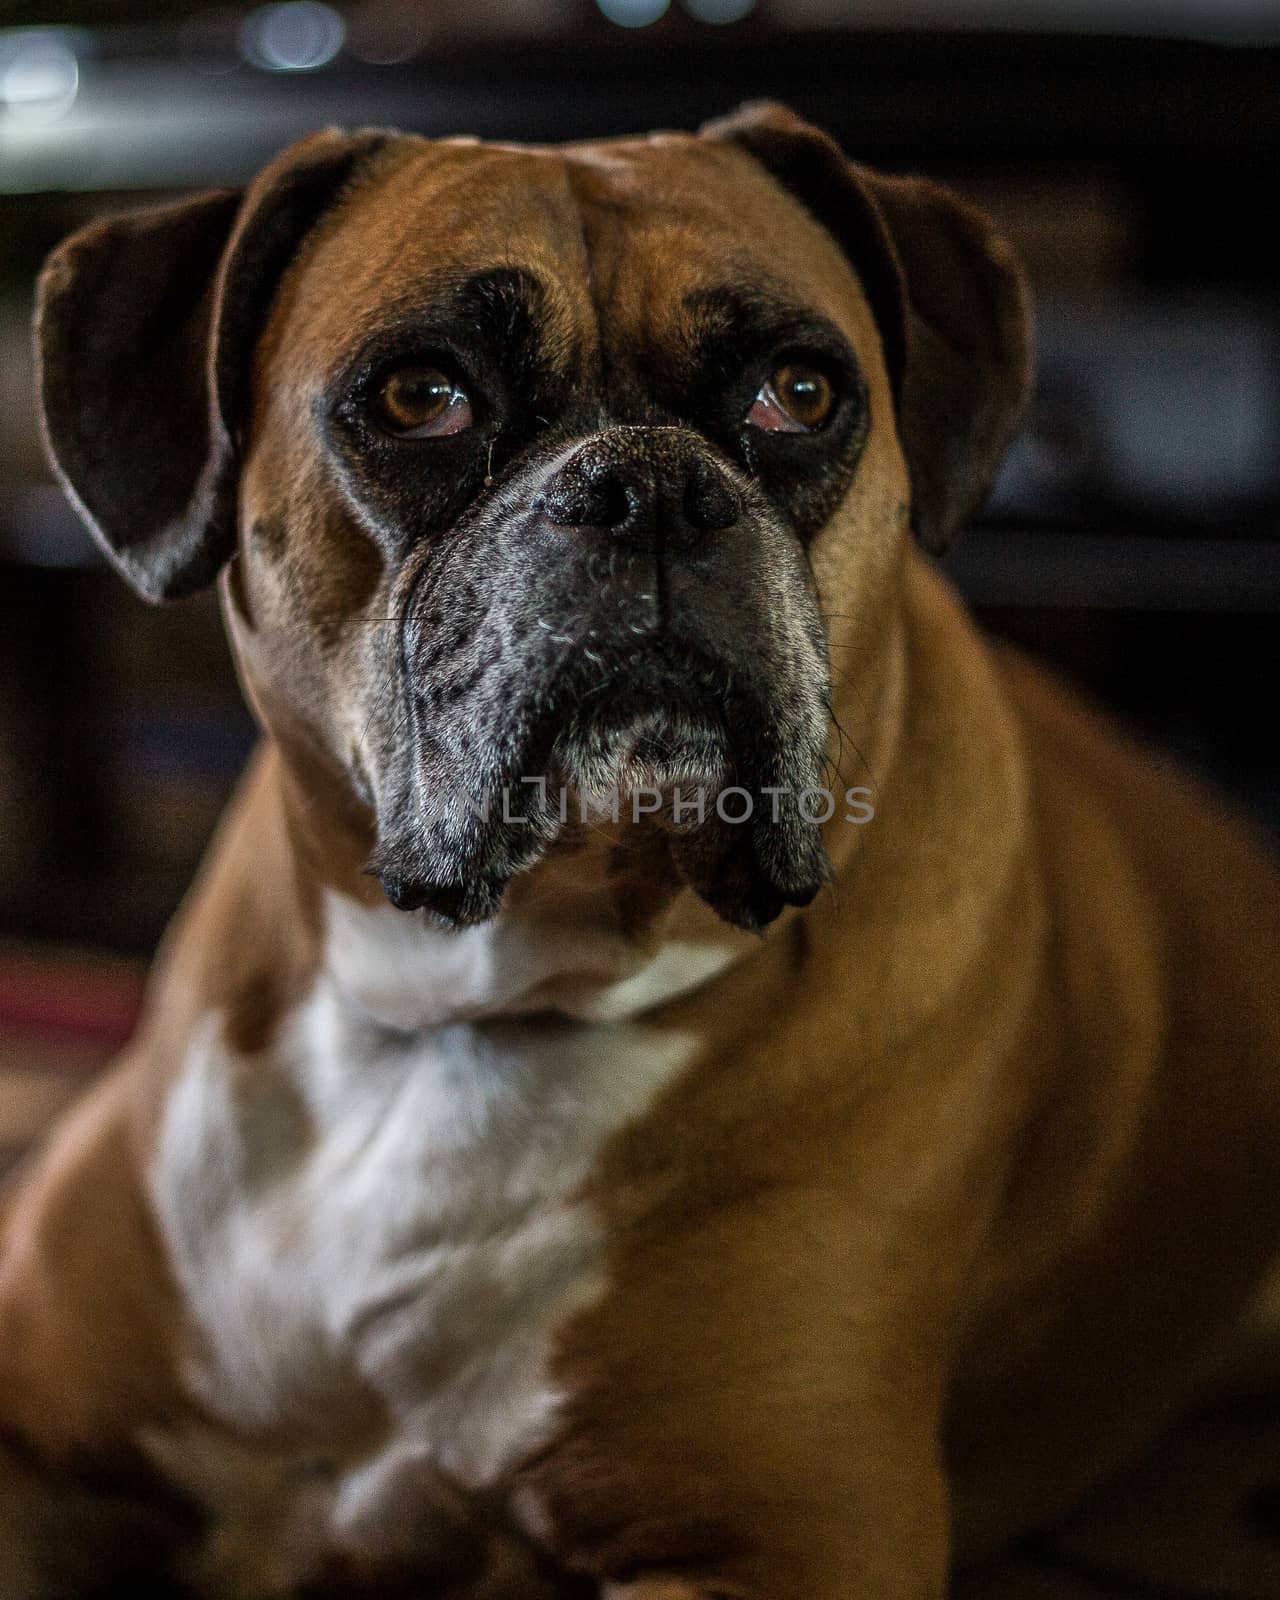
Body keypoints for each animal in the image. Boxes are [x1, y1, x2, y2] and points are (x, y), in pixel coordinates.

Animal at [2, 106, 1280, 1593]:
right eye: (421, 396)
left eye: (800, 392)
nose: (652, 488)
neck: (461, 1010)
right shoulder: (37, 1452)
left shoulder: (786, 1548)